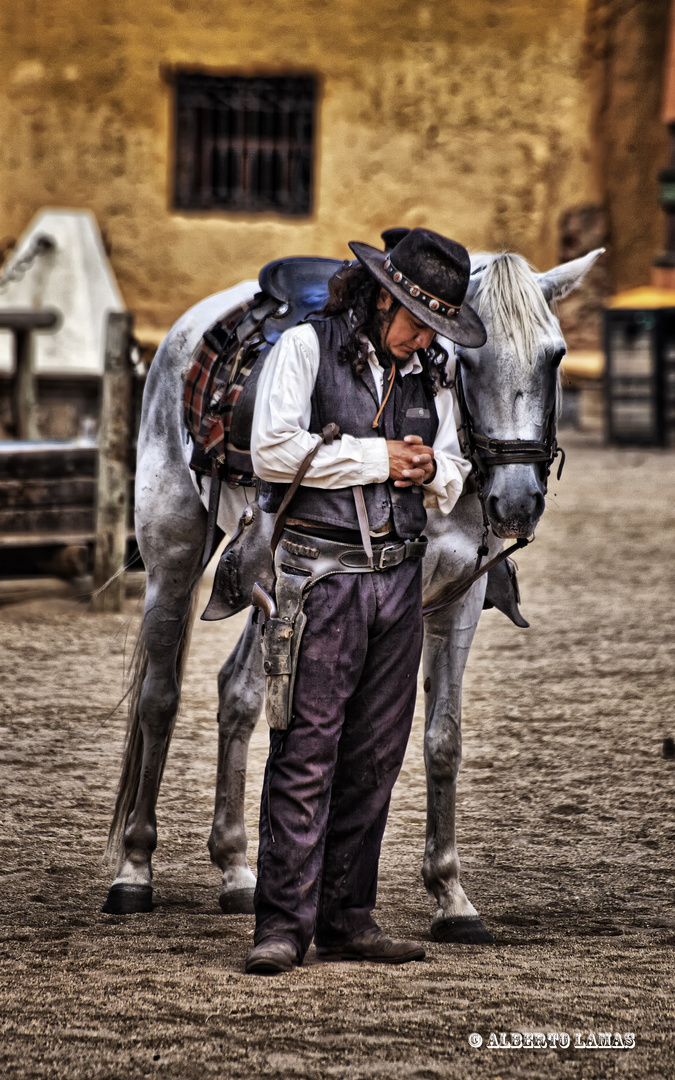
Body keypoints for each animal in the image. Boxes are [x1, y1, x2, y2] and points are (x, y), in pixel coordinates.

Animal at [104, 247, 600, 946]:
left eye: (554, 357)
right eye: (471, 360)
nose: (518, 501)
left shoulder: (457, 602)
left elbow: (442, 739)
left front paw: (451, 897)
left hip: (267, 583)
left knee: (238, 694)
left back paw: (236, 869)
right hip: (175, 554)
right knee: (159, 699)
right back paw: (135, 868)